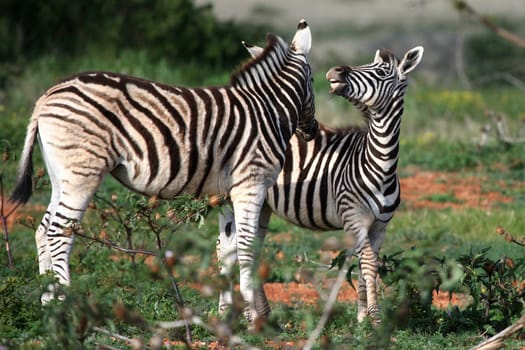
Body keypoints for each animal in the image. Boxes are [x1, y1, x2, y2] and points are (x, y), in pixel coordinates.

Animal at [10, 19, 318, 326]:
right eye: (313, 81)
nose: (312, 131)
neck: (269, 111)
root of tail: (48, 95)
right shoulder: (251, 185)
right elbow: (246, 248)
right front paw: (253, 317)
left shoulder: (228, 193)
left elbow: (228, 249)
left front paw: (227, 316)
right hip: (82, 173)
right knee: (59, 233)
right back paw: (67, 309)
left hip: (60, 176)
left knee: (42, 231)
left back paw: (47, 307)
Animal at [215, 45, 424, 324]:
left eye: (380, 72)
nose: (336, 71)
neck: (379, 164)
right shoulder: (353, 218)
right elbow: (368, 263)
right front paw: (375, 318)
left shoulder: (380, 226)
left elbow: (366, 264)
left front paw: (361, 318)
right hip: (230, 200)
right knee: (227, 250)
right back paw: (224, 313)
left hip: (261, 205)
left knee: (251, 249)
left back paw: (265, 316)